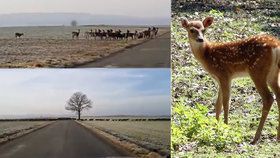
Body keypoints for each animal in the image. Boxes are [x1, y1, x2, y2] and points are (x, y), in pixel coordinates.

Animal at [182, 16, 280, 144]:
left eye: (203, 30)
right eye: (192, 30)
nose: (200, 39)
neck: (207, 55)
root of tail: (276, 45)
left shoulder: (224, 74)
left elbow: (226, 102)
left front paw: (225, 127)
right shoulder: (219, 79)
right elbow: (217, 104)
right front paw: (216, 126)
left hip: (257, 71)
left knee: (268, 98)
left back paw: (255, 138)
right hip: (273, 74)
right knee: (278, 96)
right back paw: (277, 137)